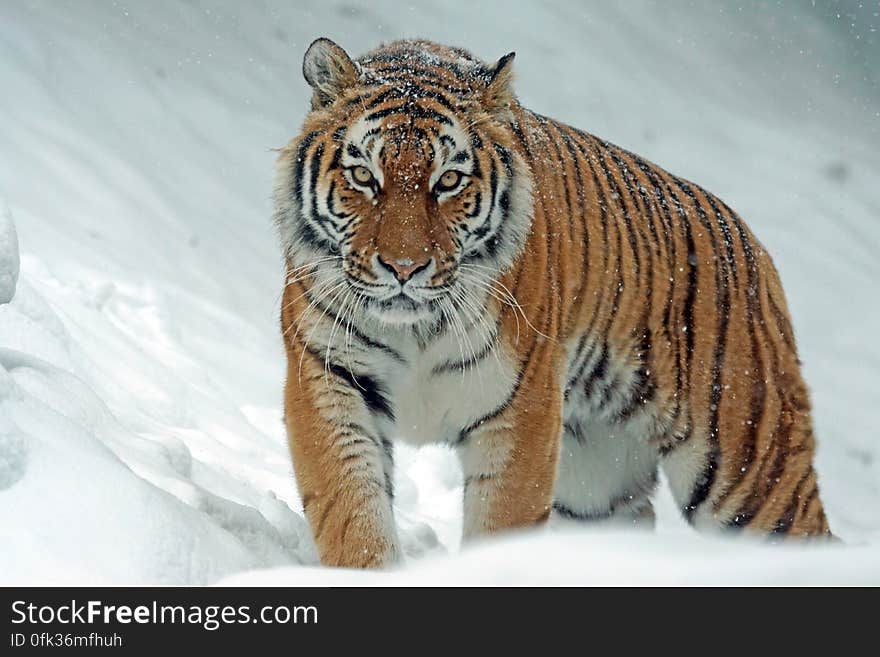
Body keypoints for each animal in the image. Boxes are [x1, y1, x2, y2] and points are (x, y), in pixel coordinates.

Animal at [276, 38, 832, 568]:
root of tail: (755, 248)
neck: (415, 328)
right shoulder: (328, 379)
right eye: (363, 176)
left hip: (750, 470)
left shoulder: (522, 409)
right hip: (596, 485)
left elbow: (501, 524)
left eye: (448, 181)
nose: (405, 268)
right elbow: (352, 513)